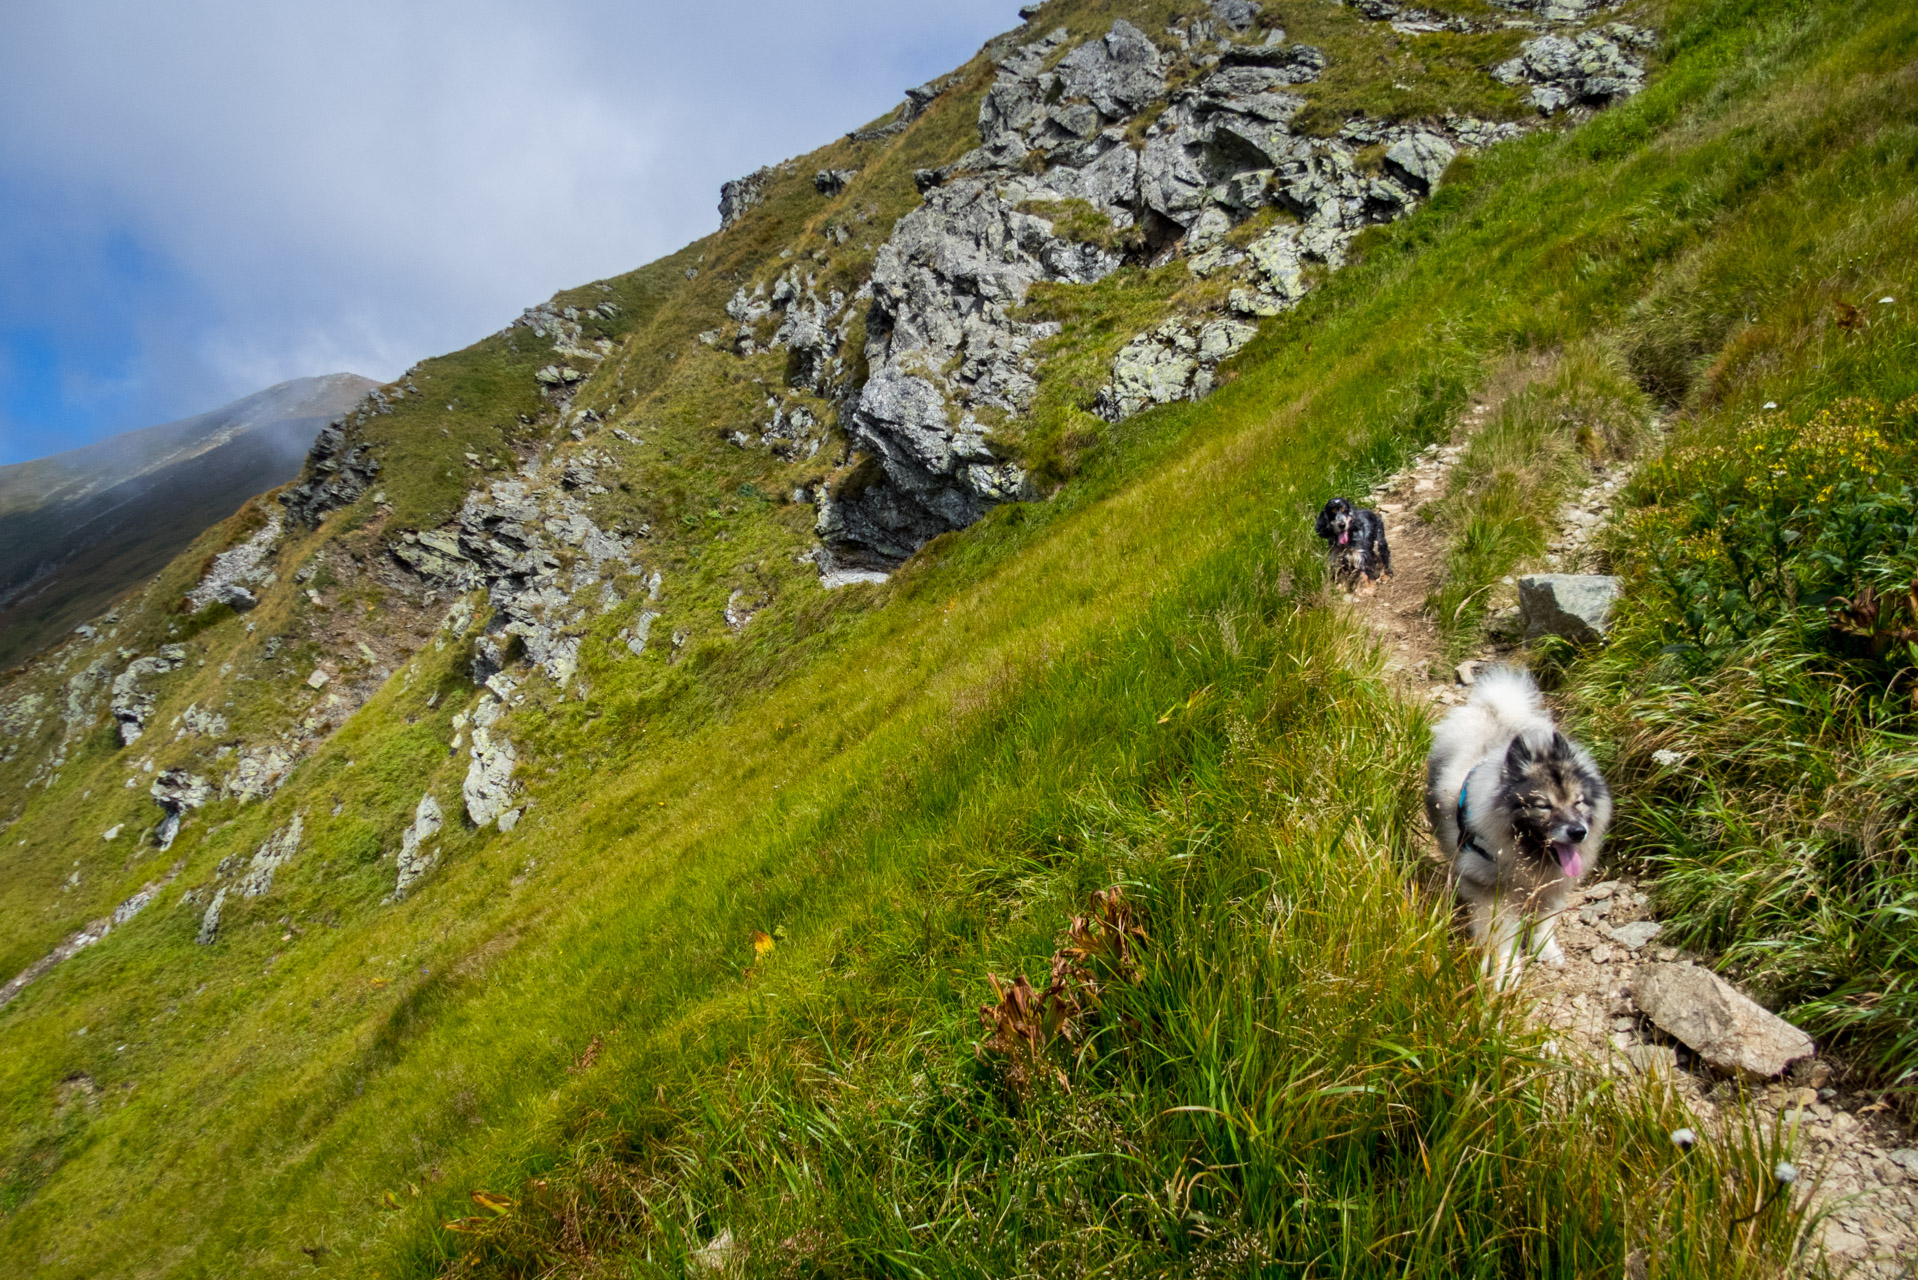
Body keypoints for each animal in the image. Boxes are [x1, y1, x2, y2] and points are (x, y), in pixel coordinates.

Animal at [1434, 667, 1611, 990]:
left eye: (1578, 802)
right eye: (1543, 806)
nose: (1578, 832)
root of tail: (1495, 711)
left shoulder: (1552, 886)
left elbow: (1545, 922)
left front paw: (1546, 951)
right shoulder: (1493, 892)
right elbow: (1502, 933)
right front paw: (1505, 968)